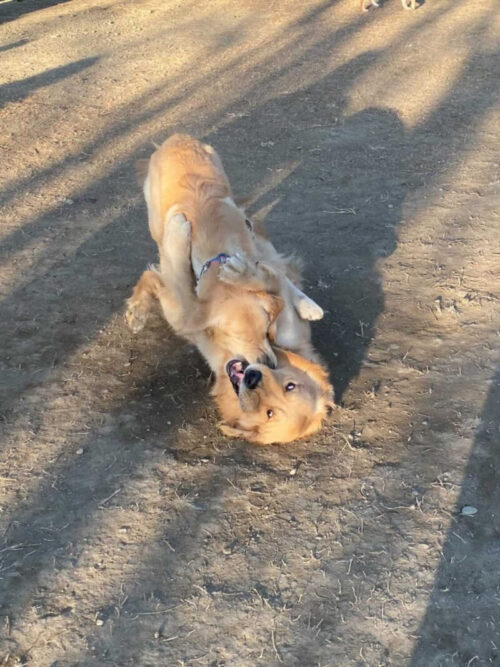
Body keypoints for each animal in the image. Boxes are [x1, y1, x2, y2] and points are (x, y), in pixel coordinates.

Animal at [127, 134, 334, 446]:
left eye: (265, 333)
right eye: (239, 337)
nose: (265, 364)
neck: (218, 254)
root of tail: (177, 137)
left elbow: (270, 280)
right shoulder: (186, 305)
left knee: (277, 269)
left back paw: (306, 303)